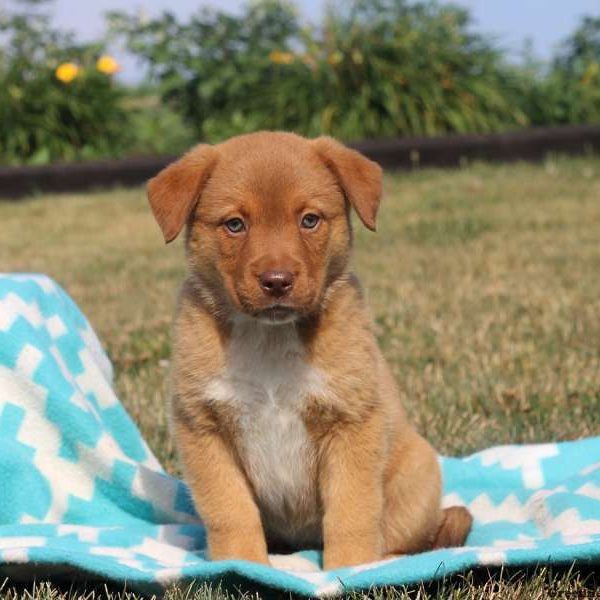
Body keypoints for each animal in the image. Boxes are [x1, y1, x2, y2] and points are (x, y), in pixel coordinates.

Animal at [148, 131, 472, 568]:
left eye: (309, 220)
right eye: (235, 224)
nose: (277, 281)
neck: (270, 339)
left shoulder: (351, 424)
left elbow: (351, 512)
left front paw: (351, 569)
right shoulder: (202, 428)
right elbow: (231, 512)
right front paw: (241, 565)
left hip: (417, 474)